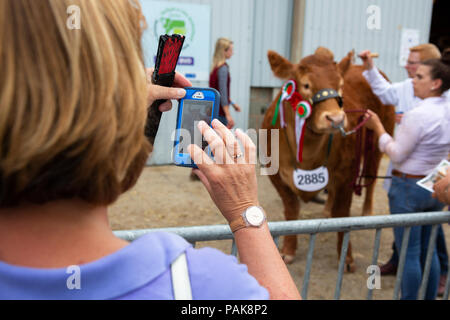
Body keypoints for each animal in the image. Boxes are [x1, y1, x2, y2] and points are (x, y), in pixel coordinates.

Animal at [260, 48, 394, 272]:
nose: (336, 119)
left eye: (340, 85)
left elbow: (342, 215)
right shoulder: (276, 173)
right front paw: (288, 250)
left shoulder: (347, 174)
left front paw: (346, 258)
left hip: (378, 142)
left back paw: (367, 210)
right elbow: (291, 209)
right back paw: (326, 209)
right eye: (306, 84)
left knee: (371, 178)